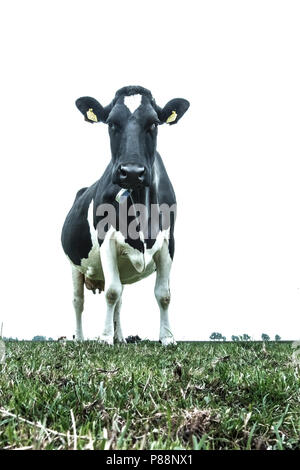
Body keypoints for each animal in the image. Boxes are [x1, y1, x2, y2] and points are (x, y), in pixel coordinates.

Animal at [60, 85, 190, 346]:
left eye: (154, 123)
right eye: (111, 123)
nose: (131, 172)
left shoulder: (169, 242)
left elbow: (163, 294)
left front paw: (167, 337)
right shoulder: (106, 240)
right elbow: (111, 292)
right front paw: (104, 338)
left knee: (120, 301)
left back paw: (121, 337)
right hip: (74, 265)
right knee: (78, 301)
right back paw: (80, 338)